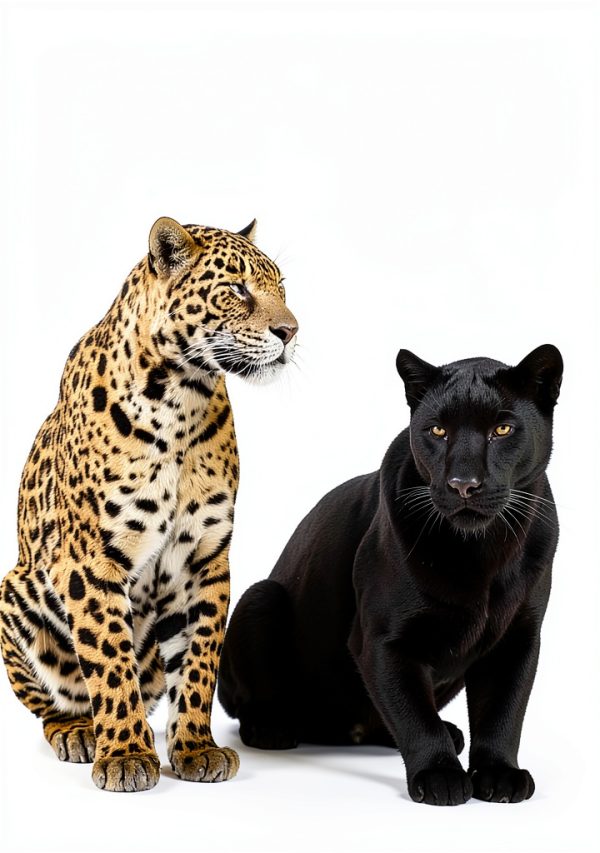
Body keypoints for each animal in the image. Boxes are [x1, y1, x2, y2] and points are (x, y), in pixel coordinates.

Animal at [0, 216, 298, 792]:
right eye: (237, 289)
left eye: (282, 288)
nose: (291, 332)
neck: (182, 396)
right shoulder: (92, 562)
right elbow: (110, 660)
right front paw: (126, 756)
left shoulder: (206, 559)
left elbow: (200, 660)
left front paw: (195, 748)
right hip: (15, 589)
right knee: (56, 702)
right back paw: (80, 732)